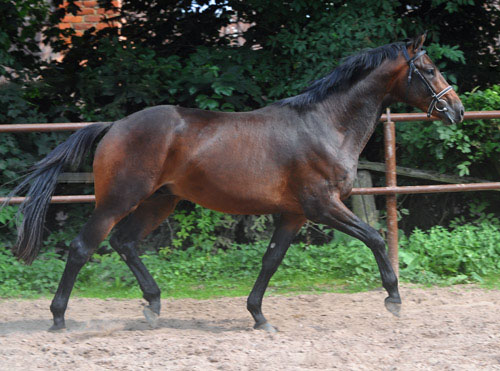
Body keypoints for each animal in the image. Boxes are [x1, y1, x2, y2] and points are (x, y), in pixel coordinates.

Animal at [4, 33, 464, 332]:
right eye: (429, 68)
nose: (457, 110)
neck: (325, 125)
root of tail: (114, 126)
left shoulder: (293, 214)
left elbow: (271, 260)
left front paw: (258, 316)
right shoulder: (322, 206)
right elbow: (373, 237)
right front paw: (394, 299)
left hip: (160, 201)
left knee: (124, 242)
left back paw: (153, 305)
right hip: (119, 199)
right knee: (84, 247)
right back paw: (59, 318)